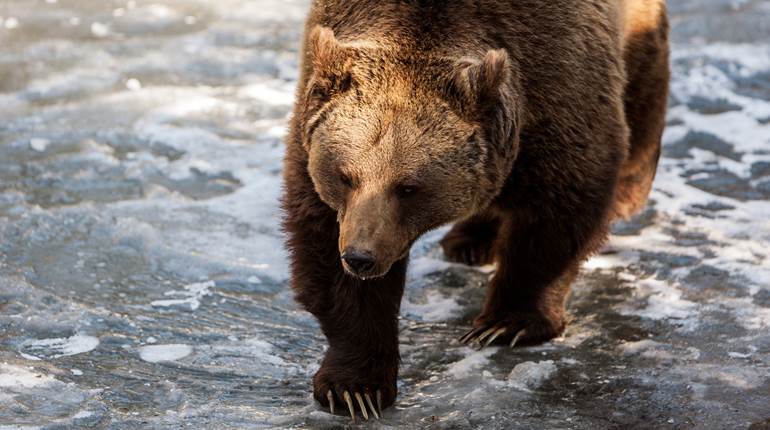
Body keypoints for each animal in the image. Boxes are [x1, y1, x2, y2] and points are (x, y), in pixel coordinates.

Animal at [282, 0, 669, 421]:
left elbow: (559, 210)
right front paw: (354, 387)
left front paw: (506, 322)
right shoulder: (313, 142)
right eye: (345, 176)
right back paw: (469, 240)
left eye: (408, 187)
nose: (360, 257)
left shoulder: (560, 83)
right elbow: (324, 251)